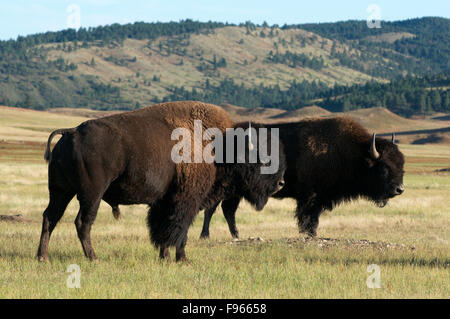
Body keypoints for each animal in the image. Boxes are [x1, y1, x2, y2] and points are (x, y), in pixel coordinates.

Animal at [38, 101, 284, 262]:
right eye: (262, 158)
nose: (280, 183)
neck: (220, 145)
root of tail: (72, 132)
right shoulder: (186, 201)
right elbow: (179, 230)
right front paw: (182, 259)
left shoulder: (164, 202)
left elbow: (162, 230)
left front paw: (164, 256)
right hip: (92, 194)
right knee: (82, 222)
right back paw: (93, 258)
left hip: (60, 191)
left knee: (50, 217)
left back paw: (43, 257)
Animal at [200, 117, 404, 240]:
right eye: (383, 168)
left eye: (401, 164)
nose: (399, 189)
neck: (354, 154)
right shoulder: (310, 197)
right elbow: (307, 217)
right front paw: (310, 235)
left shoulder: (320, 199)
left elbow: (314, 217)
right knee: (212, 208)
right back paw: (206, 236)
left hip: (236, 191)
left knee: (228, 210)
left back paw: (236, 235)